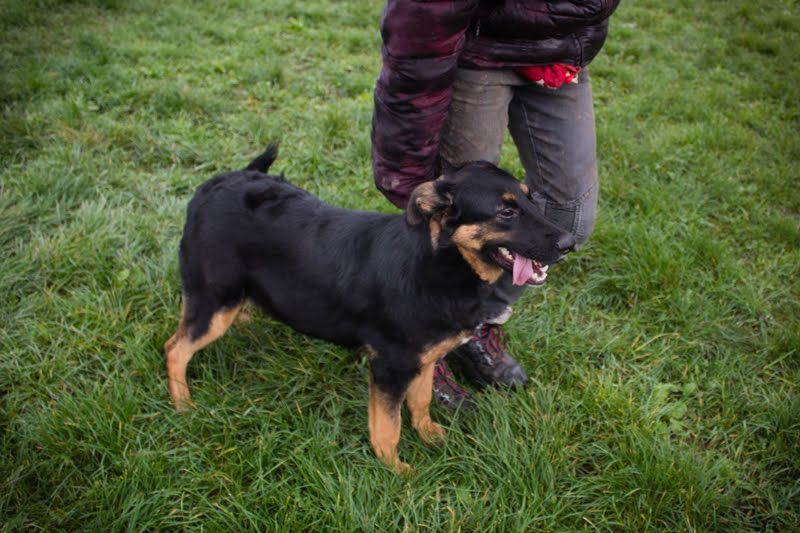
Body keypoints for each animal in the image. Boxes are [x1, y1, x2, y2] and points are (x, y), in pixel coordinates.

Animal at [164, 145, 575, 473]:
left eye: (528, 199)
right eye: (505, 211)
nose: (569, 243)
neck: (441, 261)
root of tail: (216, 185)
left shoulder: (423, 359)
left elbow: (421, 402)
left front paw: (432, 437)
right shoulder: (390, 365)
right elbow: (387, 426)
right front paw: (398, 471)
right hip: (213, 300)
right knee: (175, 349)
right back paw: (183, 405)